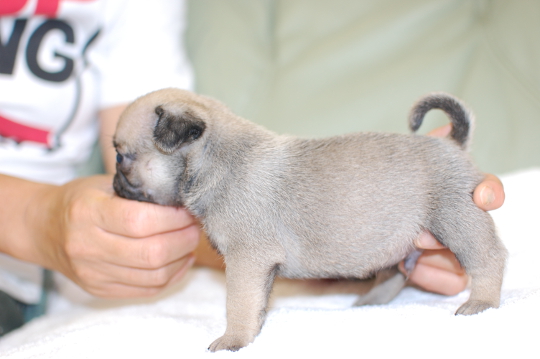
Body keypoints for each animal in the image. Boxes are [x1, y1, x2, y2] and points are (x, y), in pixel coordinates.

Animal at [113, 89, 506, 352]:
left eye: (121, 157)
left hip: (456, 218)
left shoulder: (245, 262)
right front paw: (253, 332)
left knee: (489, 259)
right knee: (397, 273)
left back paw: (481, 303)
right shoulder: (258, 269)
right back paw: (368, 303)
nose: (113, 183)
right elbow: (257, 304)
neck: (214, 158)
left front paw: (233, 340)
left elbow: (238, 304)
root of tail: (452, 144)